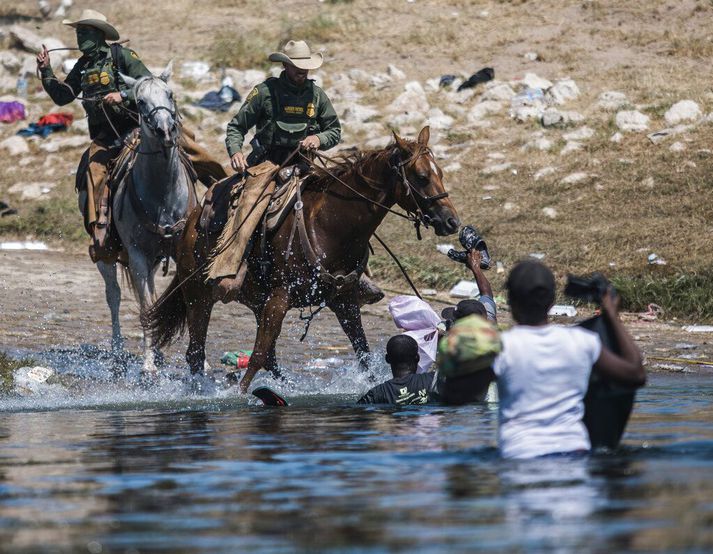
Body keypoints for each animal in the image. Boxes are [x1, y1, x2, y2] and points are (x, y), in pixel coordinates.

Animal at [94, 62, 196, 374]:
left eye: (170, 94)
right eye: (140, 101)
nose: (165, 131)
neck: (162, 195)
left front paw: (201, 361)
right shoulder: (137, 256)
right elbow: (144, 307)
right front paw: (148, 364)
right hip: (107, 255)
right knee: (114, 295)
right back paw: (120, 351)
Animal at [143, 127, 462, 390]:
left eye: (441, 173)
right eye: (422, 177)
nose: (451, 222)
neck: (330, 225)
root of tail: (190, 221)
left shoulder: (344, 301)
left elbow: (362, 352)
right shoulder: (280, 298)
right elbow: (257, 355)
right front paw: (239, 395)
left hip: (255, 300)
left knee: (268, 357)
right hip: (198, 295)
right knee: (196, 352)